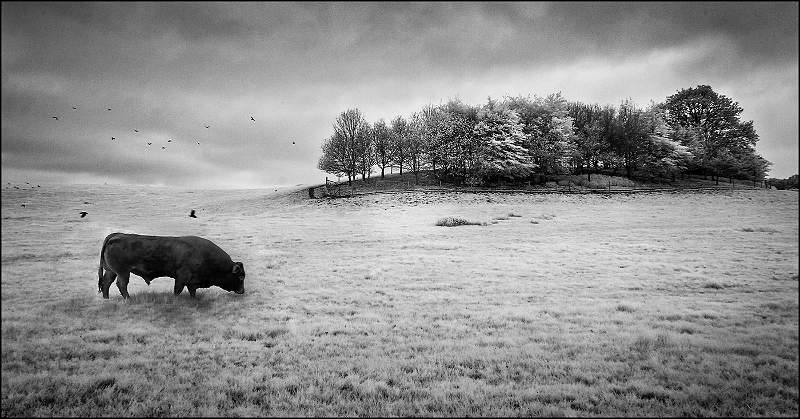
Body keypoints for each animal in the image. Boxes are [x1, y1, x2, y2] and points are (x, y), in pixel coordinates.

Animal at [98, 232, 245, 299]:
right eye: (241, 276)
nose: (242, 291)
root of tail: (115, 235)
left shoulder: (192, 281)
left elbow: (192, 291)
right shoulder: (181, 278)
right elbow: (178, 290)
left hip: (112, 271)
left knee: (106, 282)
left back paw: (106, 298)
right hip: (123, 272)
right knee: (121, 284)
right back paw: (128, 299)